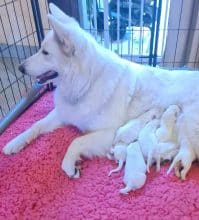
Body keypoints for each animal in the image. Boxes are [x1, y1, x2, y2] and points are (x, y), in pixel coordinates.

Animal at [2, 3, 199, 179]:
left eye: (45, 53)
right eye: (41, 49)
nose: (20, 68)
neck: (86, 83)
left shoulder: (110, 133)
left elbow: (76, 141)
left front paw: (70, 165)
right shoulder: (64, 113)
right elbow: (36, 125)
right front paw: (15, 142)